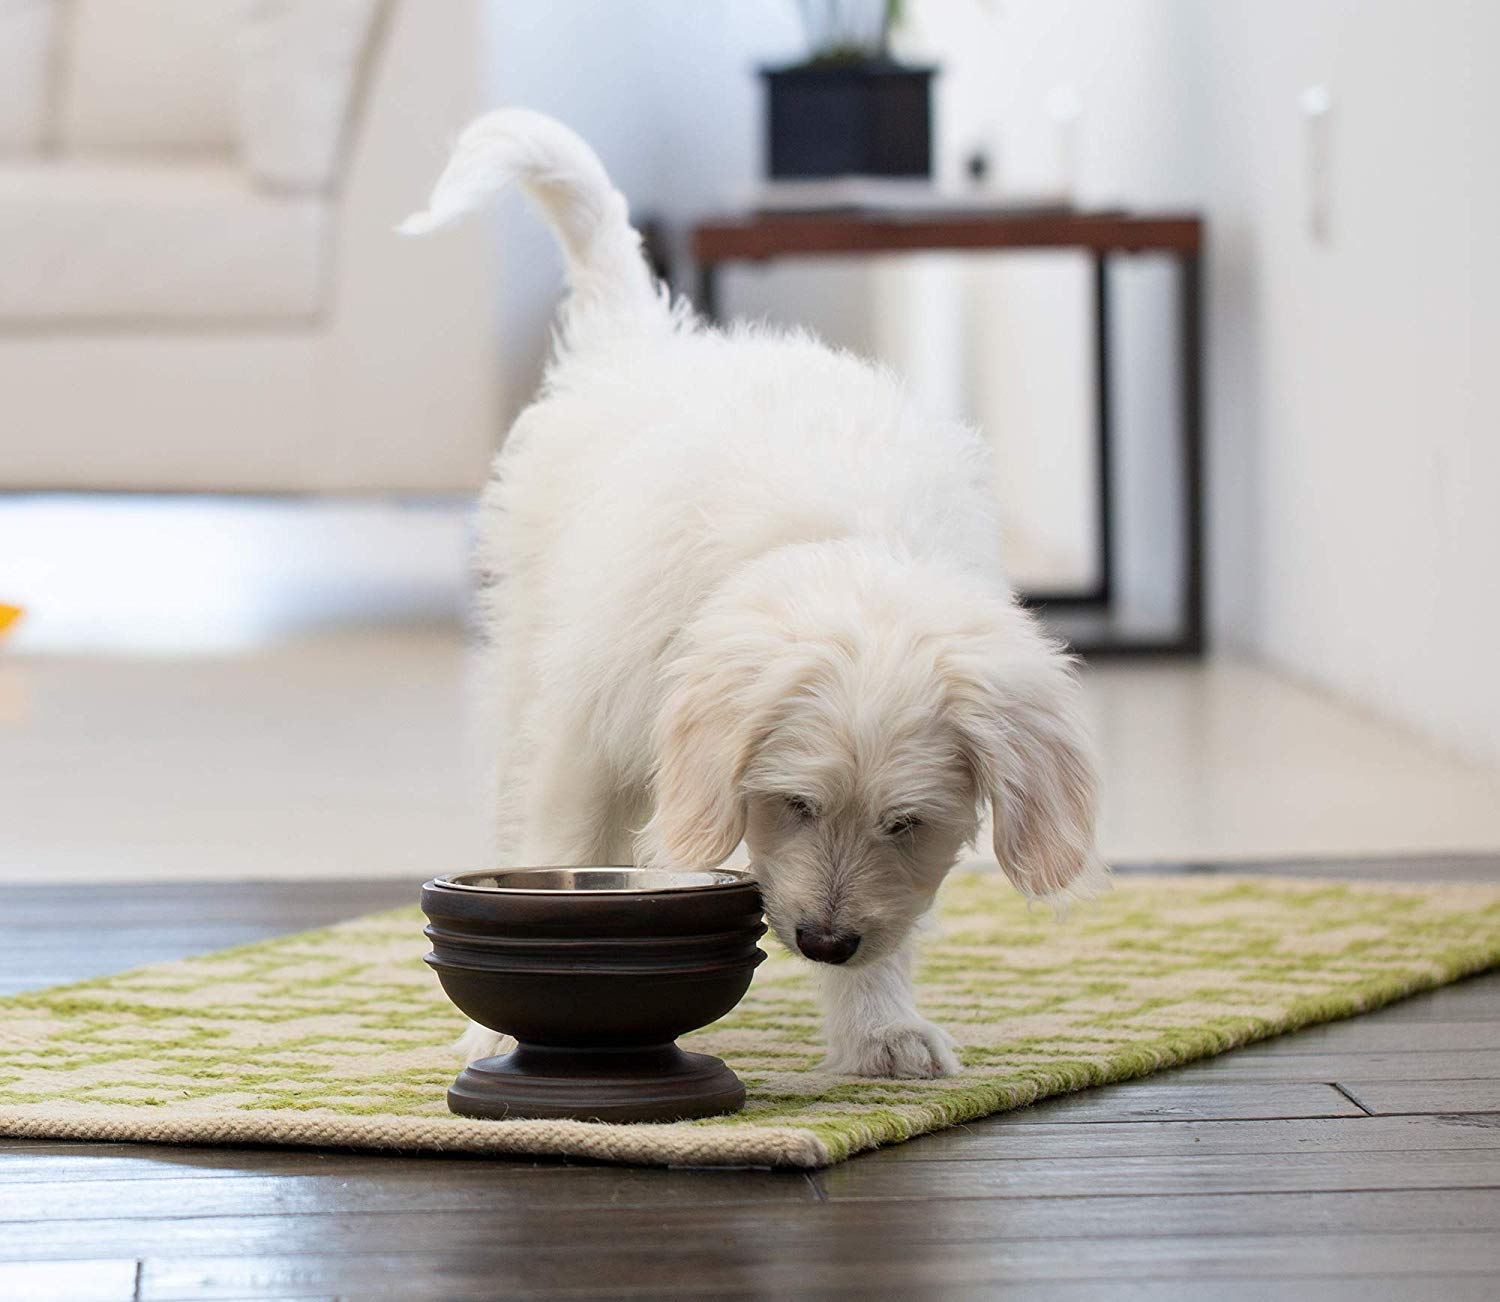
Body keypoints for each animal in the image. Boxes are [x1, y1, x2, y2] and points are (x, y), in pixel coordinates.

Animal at [405, 109, 1110, 1080]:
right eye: (796, 805)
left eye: (906, 824)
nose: (824, 943)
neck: (842, 538)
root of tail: (642, 340)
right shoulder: (587, 739)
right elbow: (567, 847)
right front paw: (505, 1022)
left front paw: (878, 1027)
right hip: (526, 667)